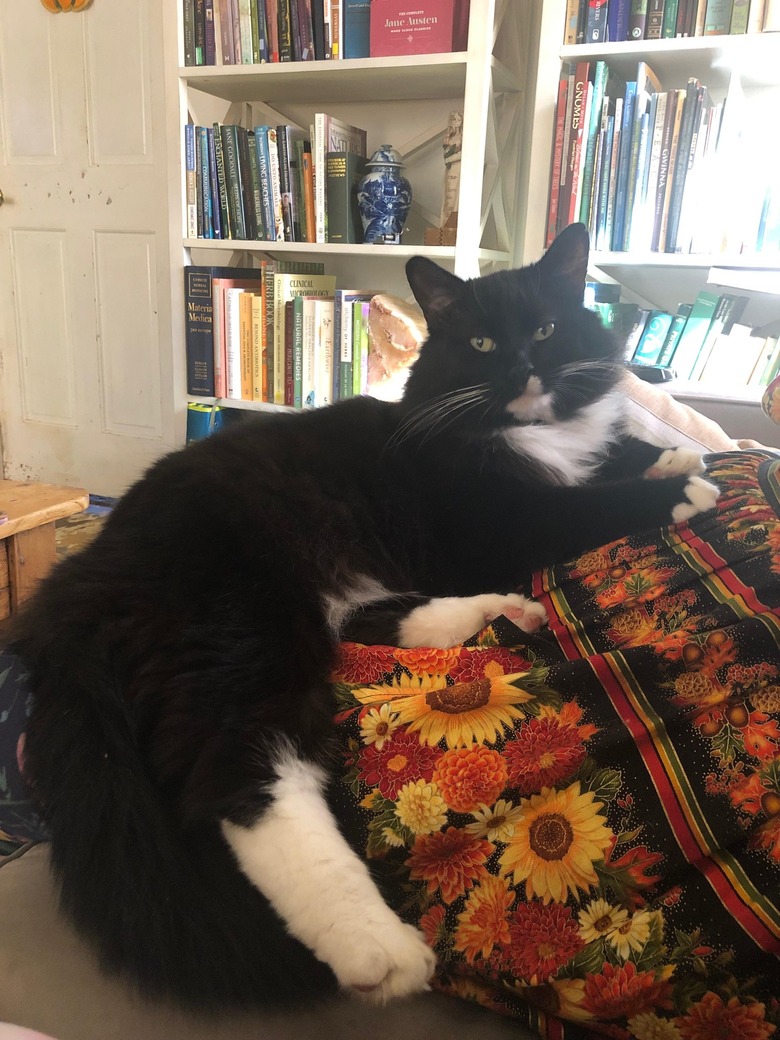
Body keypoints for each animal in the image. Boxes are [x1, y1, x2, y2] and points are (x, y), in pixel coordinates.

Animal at [13, 219, 719, 1006]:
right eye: (481, 343)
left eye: (545, 328)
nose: (523, 369)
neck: (531, 430)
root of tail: (78, 580)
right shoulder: (494, 524)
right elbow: (585, 504)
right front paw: (685, 490)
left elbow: (613, 452)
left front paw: (672, 457)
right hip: (241, 623)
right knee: (244, 774)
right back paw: (377, 949)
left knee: (374, 625)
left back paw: (513, 611)